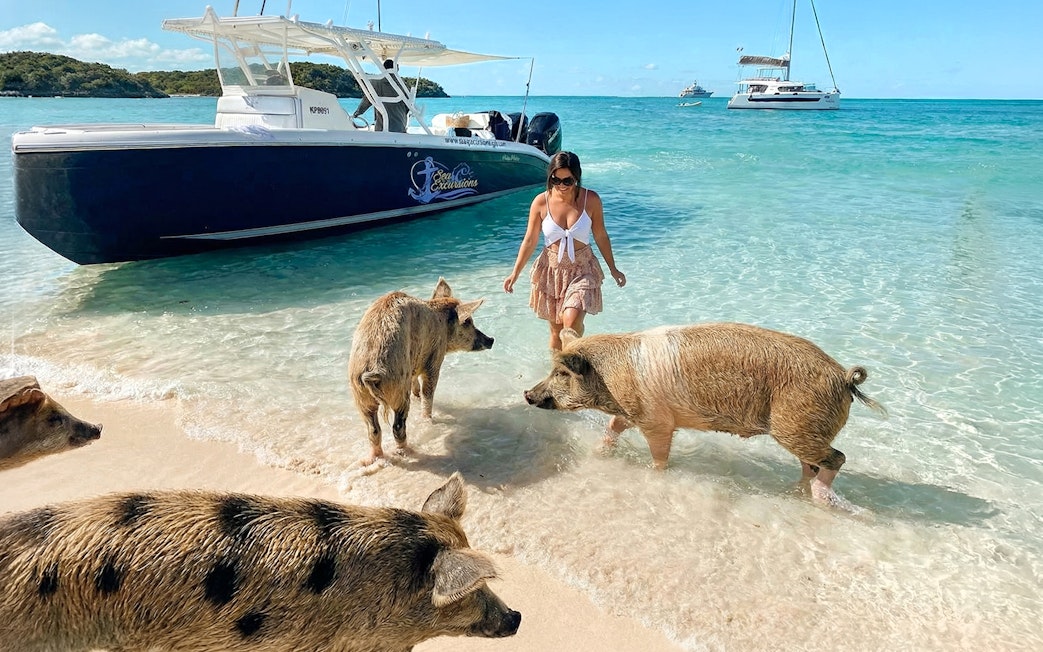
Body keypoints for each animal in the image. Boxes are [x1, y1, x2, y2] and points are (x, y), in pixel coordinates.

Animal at [348, 278, 493, 465]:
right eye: (468, 322)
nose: (491, 340)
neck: (442, 322)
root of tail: (373, 370)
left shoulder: (414, 364)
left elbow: (416, 385)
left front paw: (417, 396)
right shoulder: (435, 357)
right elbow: (428, 392)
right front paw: (427, 418)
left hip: (360, 395)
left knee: (373, 430)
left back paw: (371, 459)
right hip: (397, 388)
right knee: (397, 426)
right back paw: (408, 451)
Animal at [524, 324, 885, 504]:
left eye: (561, 373)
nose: (527, 394)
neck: (612, 378)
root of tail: (844, 377)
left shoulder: (657, 420)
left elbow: (659, 456)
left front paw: (655, 475)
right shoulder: (633, 411)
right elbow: (614, 425)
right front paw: (598, 453)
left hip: (794, 424)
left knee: (837, 458)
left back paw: (822, 499)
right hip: (803, 429)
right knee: (812, 464)